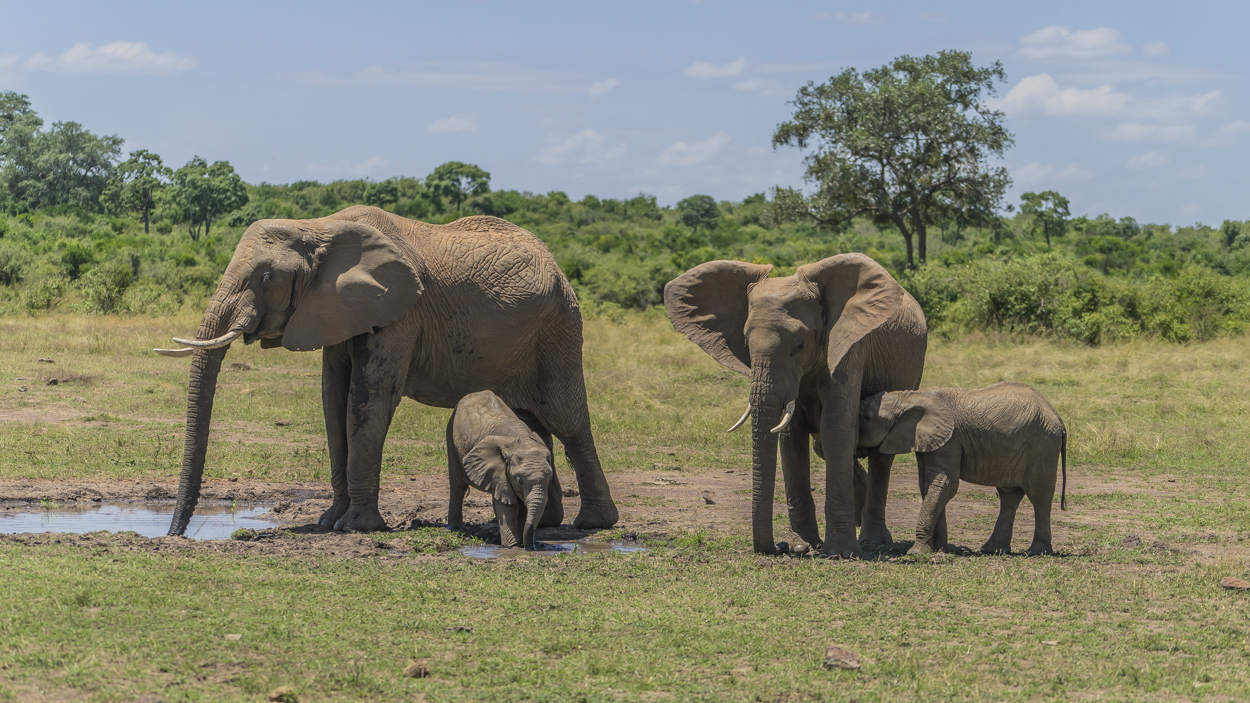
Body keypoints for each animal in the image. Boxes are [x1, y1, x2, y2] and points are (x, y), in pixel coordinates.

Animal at [447, 387, 565, 547]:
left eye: (549, 479)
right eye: (519, 480)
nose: (533, 547)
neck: (522, 439)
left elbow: (523, 508)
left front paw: (521, 544)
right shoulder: (500, 472)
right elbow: (507, 508)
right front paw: (511, 547)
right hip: (451, 434)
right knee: (458, 486)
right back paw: (454, 527)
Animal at [665, 253, 930, 555]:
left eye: (800, 344)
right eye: (745, 343)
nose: (778, 547)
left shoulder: (850, 348)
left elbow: (836, 427)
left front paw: (840, 552)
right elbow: (792, 435)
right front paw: (801, 545)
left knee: (880, 455)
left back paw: (872, 540)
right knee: (826, 447)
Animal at [860, 380, 1065, 555]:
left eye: (867, 417)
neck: (911, 396)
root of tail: (1057, 417)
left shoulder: (950, 438)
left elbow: (945, 483)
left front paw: (918, 552)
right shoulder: (929, 439)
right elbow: (928, 485)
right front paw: (940, 549)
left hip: (1042, 446)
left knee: (1039, 496)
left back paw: (1037, 552)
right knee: (1009, 495)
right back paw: (993, 550)